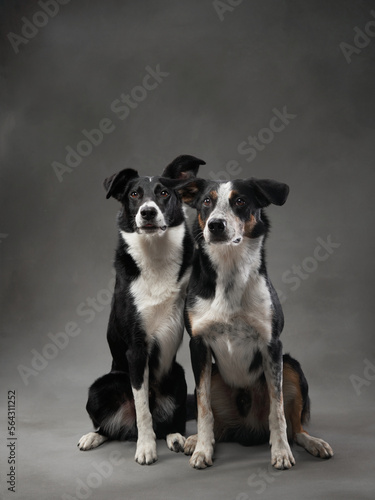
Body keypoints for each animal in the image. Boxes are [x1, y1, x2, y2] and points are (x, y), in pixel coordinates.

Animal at [77, 155, 204, 464]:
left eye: (164, 193)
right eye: (134, 194)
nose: (147, 212)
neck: (155, 254)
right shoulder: (136, 348)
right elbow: (142, 408)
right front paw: (145, 448)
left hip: (177, 376)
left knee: (171, 422)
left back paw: (175, 437)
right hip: (102, 386)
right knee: (115, 426)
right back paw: (95, 436)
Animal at [173, 175, 334, 468]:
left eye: (240, 201)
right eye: (206, 201)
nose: (215, 225)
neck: (229, 273)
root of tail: (248, 427)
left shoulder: (273, 345)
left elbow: (277, 410)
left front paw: (281, 452)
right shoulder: (198, 344)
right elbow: (203, 408)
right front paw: (202, 449)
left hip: (292, 367)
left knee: (296, 428)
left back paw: (313, 443)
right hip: (215, 377)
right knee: (217, 423)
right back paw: (195, 440)